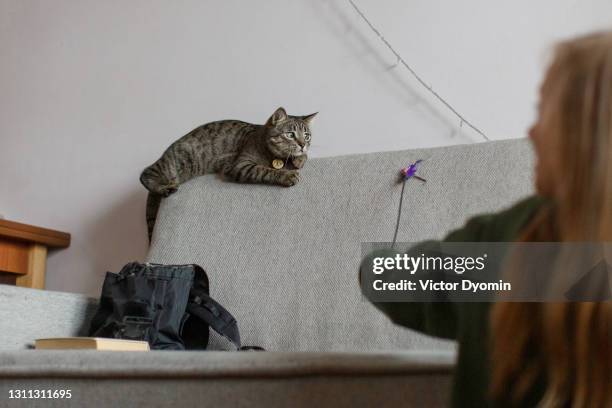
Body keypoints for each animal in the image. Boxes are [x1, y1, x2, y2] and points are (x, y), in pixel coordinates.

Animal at [142, 108, 318, 241]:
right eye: (290, 134)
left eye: (307, 136)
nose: (303, 144)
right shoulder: (240, 165)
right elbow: (266, 170)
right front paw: (287, 175)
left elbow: (301, 157)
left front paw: (300, 159)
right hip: (173, 165)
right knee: (146, 173)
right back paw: (164, 188)